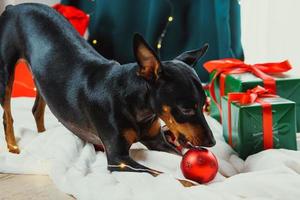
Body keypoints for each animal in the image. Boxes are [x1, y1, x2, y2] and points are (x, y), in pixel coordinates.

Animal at [0, 2, 216, 186]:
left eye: (204, 104)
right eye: (186, 109)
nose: (212, 142)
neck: (133, 103)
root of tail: (13, 7)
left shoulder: (156, 141)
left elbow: (177, 154)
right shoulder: (118, 159)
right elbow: (165, 176)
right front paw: (196, 185)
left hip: (42, 79)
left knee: (37, 109)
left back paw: (43, 136)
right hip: (6, 72)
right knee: (7, 115)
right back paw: (13, 147)